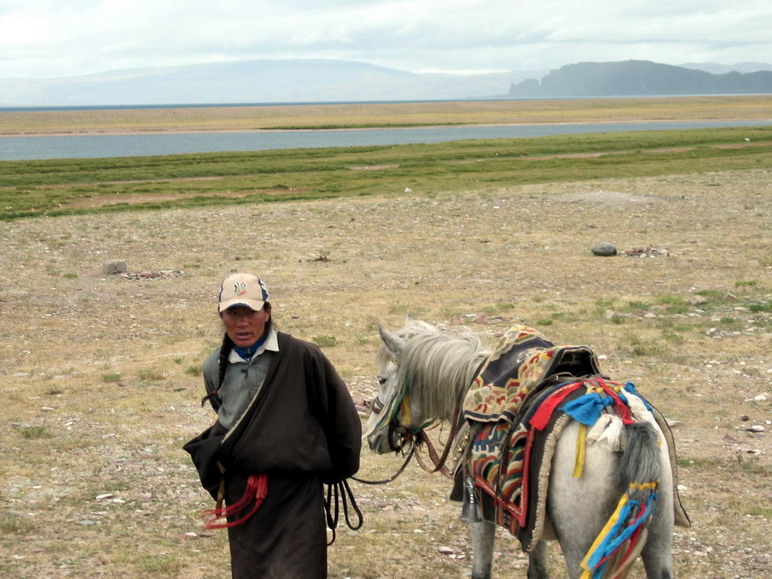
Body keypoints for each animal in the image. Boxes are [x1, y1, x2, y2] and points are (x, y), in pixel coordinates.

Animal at [364, 318, 692, 579]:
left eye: (382, 379)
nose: (371, 436)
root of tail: (621, 420)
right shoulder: (533, 522)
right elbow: (538, 570)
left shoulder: (479, 511)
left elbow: (481, 571)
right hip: (658, 543)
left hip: (582, 549)